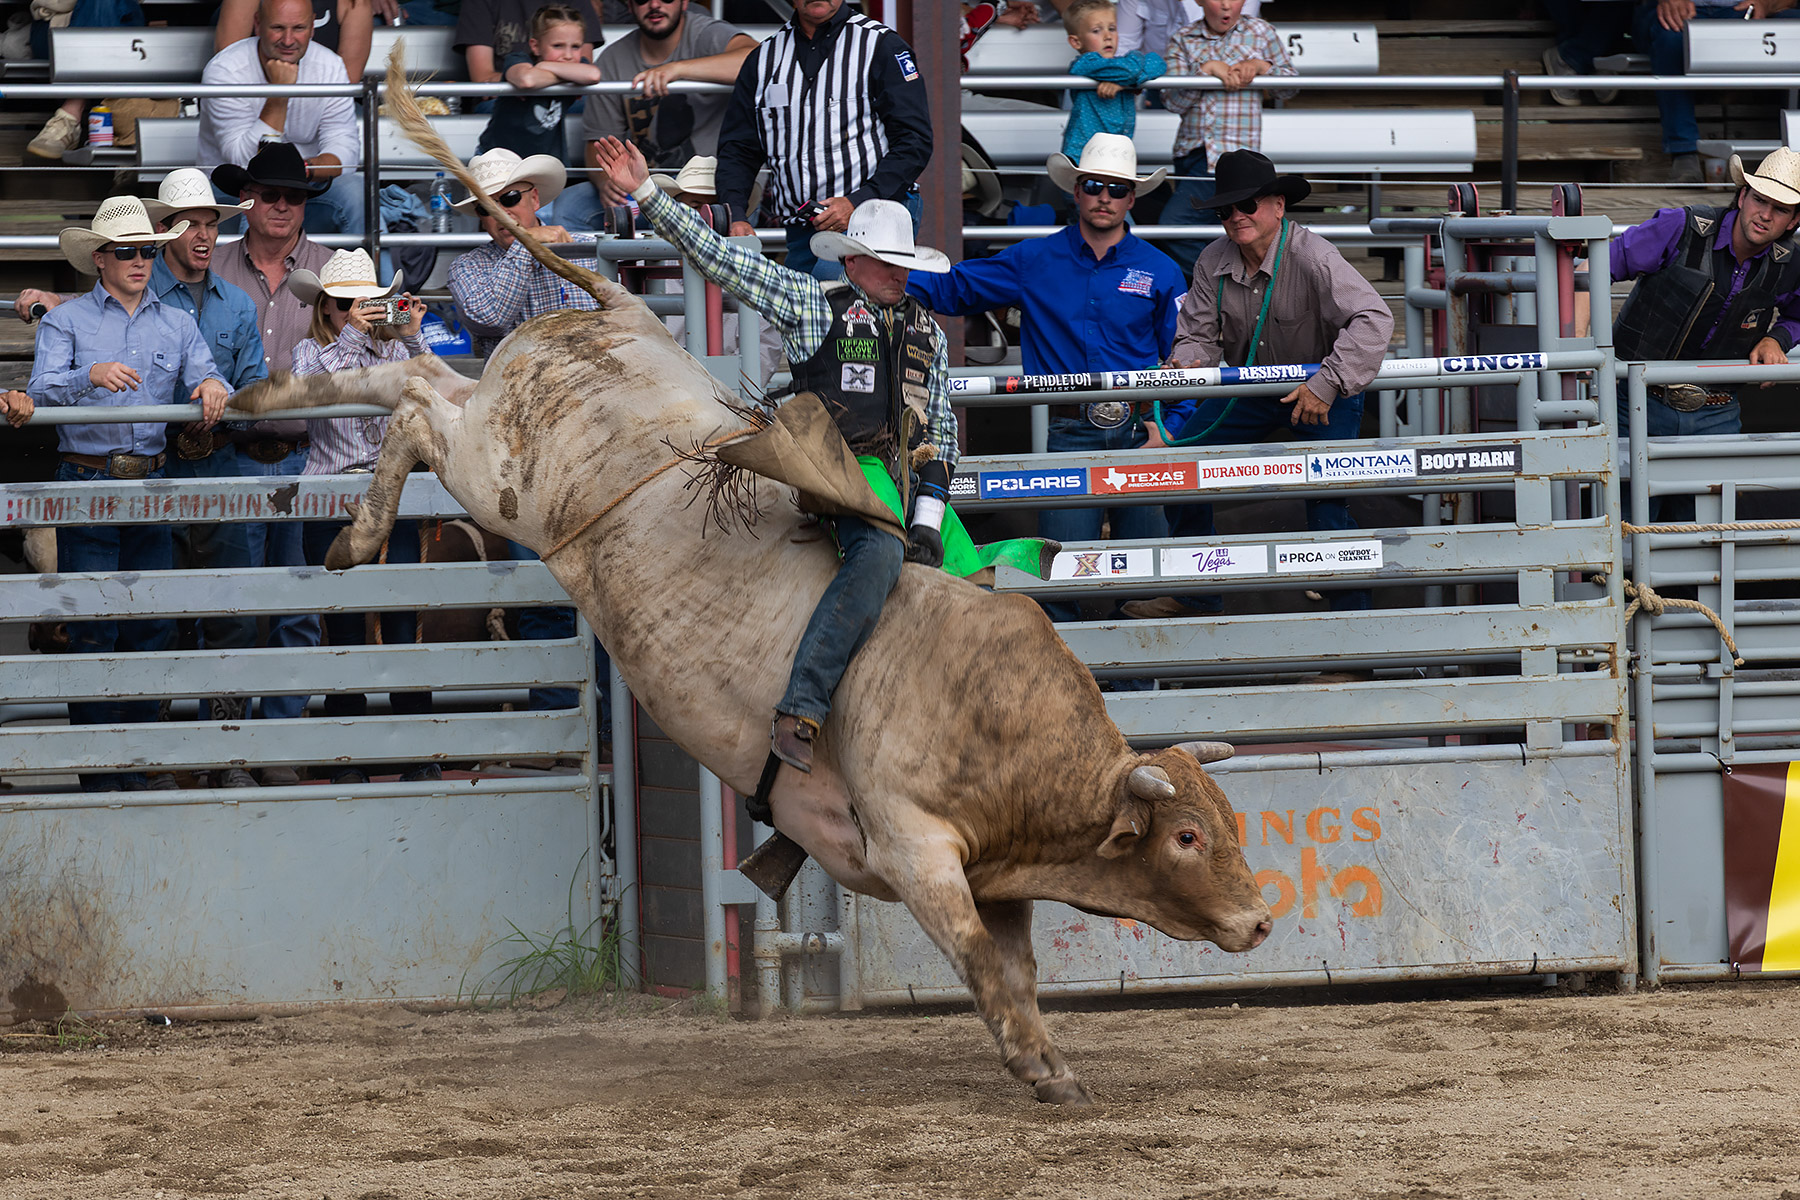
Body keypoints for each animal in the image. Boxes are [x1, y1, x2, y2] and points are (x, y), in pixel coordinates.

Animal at [226, 51, 1274, 1105]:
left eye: (1228, 820)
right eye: (1186, 837)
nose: (1263, 920)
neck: (1004, 730)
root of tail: (620, 310)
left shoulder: (997, 876)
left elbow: (1012, 968)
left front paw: (1049, 1063)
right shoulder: (916, 850)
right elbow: (980, 961)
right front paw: (1040, 1067)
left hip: (492, 434)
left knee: (417, 382)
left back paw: (270, 411)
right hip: (501, 480)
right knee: (410, 403)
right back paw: (338, 514)